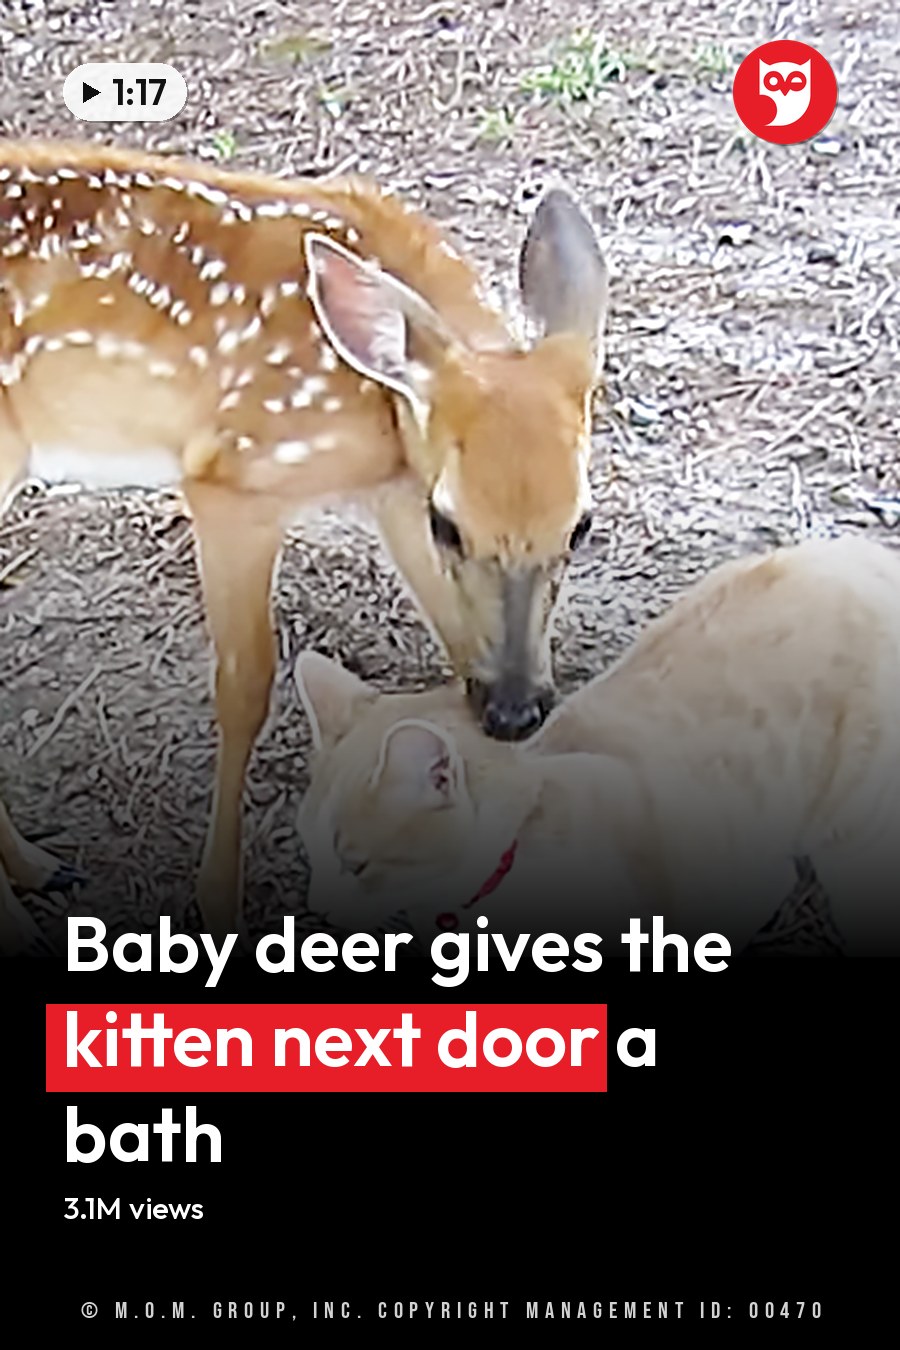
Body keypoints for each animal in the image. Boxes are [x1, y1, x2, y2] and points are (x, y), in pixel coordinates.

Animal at [0, 139, 609, 945]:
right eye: (450, 521)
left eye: (582, 524)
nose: (514, 711)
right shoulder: (236, 482)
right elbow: (245, 686)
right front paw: (218, 898)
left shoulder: (392, 494)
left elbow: (454, 648)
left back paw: (37, 867)